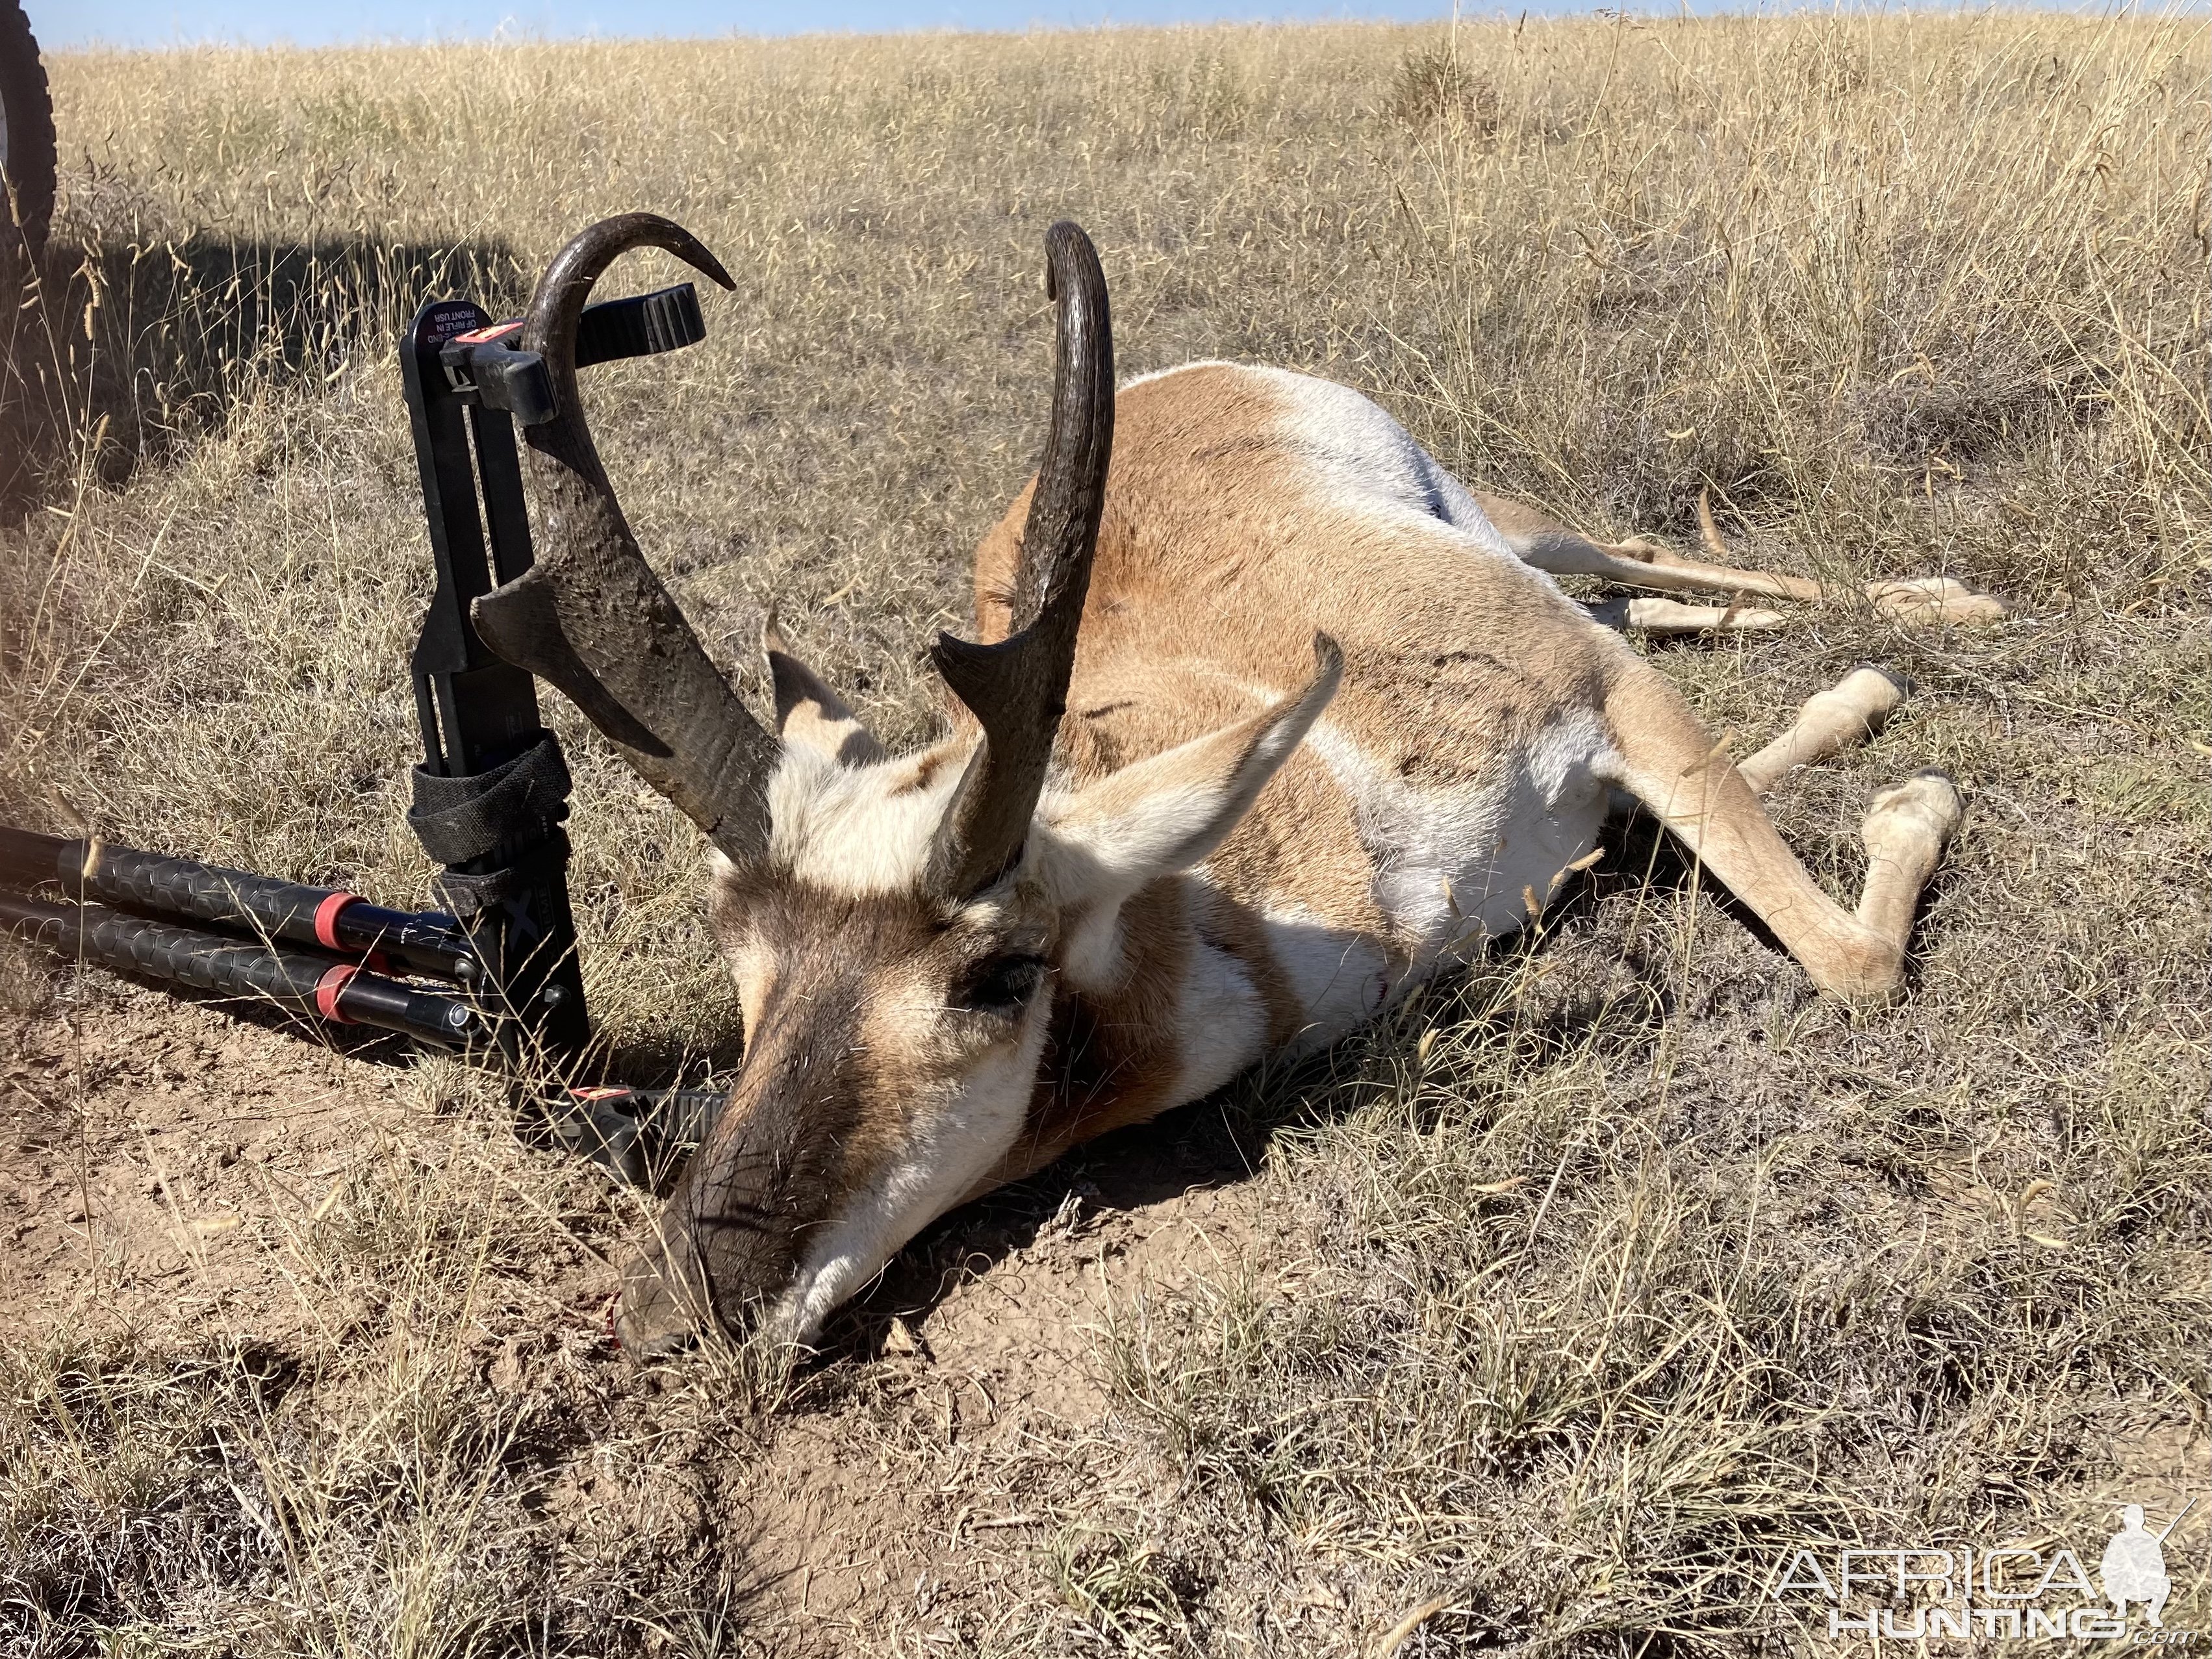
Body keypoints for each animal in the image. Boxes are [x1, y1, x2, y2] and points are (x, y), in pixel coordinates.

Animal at [484, 214, 2008, 1354]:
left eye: (999, 974)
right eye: (735, 955)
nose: (675, 1305)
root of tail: (1180, 381)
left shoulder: (1598, 688)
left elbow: (1849, 961)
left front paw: (1909, 785)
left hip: (1523, 537)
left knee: (1635, 558)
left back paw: (1944, 607)